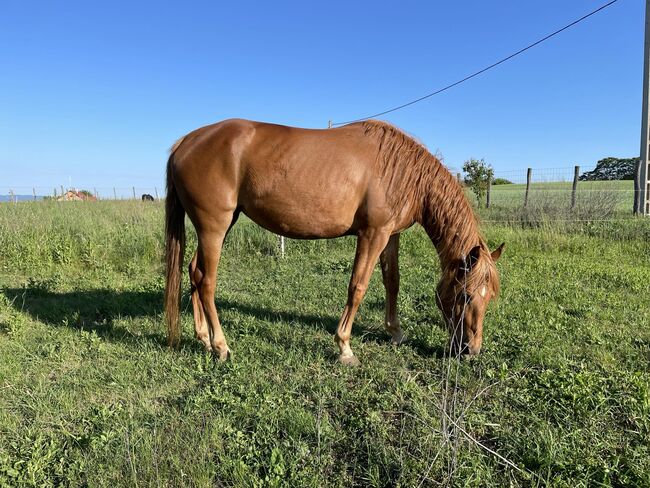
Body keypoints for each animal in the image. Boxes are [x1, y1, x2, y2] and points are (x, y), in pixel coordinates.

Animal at [163, 118, 502, 364]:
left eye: (489, 298)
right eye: (465, 296)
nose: (471, 351)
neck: (401, 171)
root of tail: (186, 142)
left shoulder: (390, 235)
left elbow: (392, 281)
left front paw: (395, 332)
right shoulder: (372, 234)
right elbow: (358, 287)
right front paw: (344, 347)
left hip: (220, 225)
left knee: (193, 271)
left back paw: (203, 338)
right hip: (214, 227)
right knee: (206, 281)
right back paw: (221, 346)